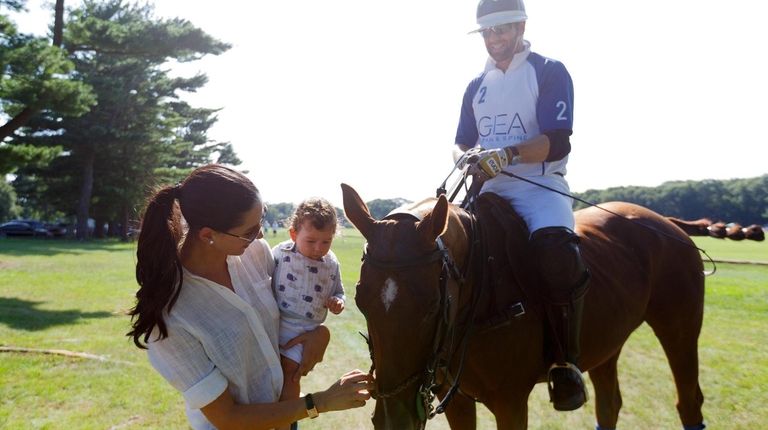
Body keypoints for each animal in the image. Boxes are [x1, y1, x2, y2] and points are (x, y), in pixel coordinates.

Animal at [344, 184, 708, 430]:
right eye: (360, 300)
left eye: (434, 305)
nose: (395, 421)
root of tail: (669, 222)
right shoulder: (456, 399)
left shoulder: (511, 402)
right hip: (608, 342)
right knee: (610, 404)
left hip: (679, 328)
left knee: (689, 401)